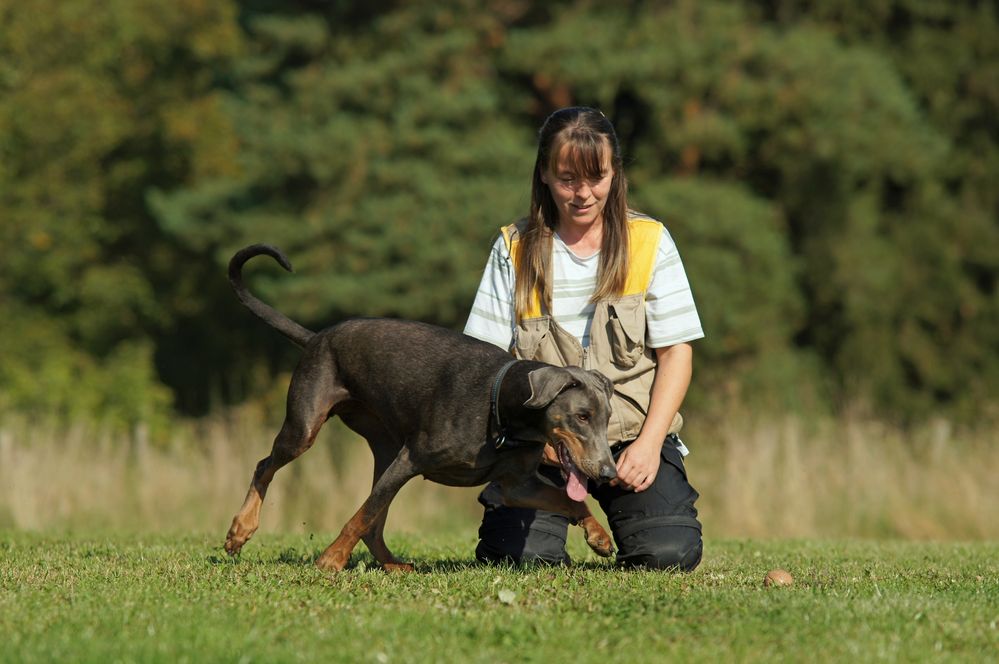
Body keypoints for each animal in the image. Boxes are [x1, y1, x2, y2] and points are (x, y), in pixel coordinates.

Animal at [223, 244, 620, 572]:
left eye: (606, 418)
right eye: (582, 416)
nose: (609, 474)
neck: (502, 413)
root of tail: (316, 337)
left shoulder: (517, 486)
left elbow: (568, 500)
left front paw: (599, 537)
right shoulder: (410, 460)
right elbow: (361, 516)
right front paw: (331, 560)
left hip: (384, 448)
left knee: (375, 521)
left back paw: (393, 565)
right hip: (308, 426)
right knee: (266, 466)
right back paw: (240, 530)